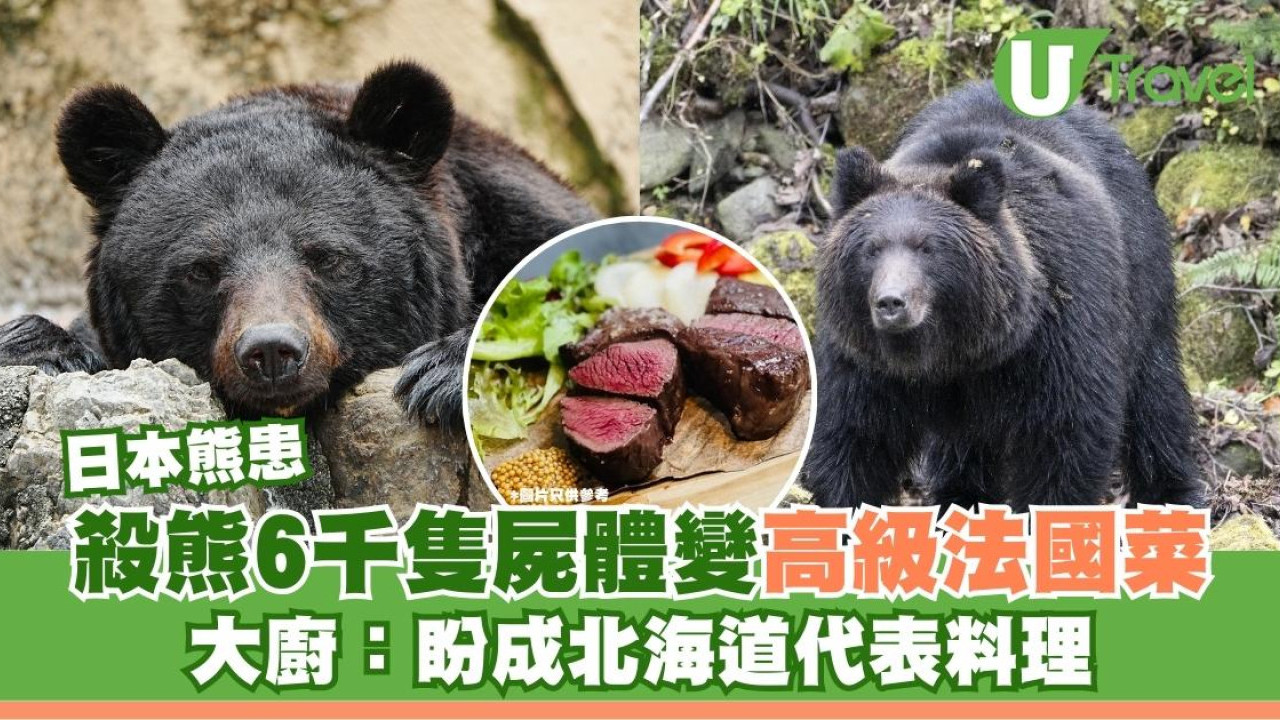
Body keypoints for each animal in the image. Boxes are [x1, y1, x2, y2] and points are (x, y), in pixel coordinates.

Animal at [0, 61, 595, 424]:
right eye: (200, 269)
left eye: (328, 257)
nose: (270, 351)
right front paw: (39, 345)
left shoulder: (523, 218)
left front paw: (439, 374)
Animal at [804, 82, 1206, 511]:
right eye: (872, 248)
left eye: (928, 247)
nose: (891, 303)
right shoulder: (865, 360)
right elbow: (852, 439)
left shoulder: (1057, 337)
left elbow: (1064, 437)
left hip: (1141, 275)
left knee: (1155, 392)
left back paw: (1171, 492)